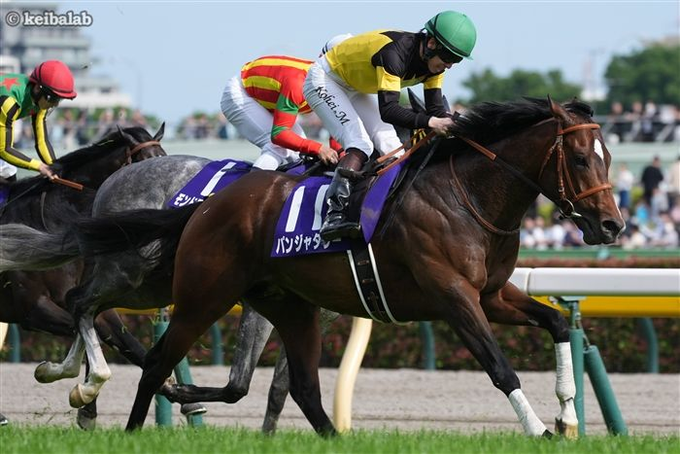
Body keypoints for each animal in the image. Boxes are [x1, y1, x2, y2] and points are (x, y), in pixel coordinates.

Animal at [0, 124, 167, 428]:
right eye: (146, 165)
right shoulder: (33, 310)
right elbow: (88, 337)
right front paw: (76, 390)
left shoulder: (96, 304)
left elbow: (130, 346)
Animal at [102, 97, 622, 436]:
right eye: (580, 159)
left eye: (609, 156)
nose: (612, 225)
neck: (466, 198)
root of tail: (207, 206)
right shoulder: (453, 297)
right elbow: (501, 369)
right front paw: (540, 430)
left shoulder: (491, 294)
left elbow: (557, 322)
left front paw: (567, 414)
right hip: (203, 297)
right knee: (154, 358)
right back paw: (132, 427)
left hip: (291, 308)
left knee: (303, 388)